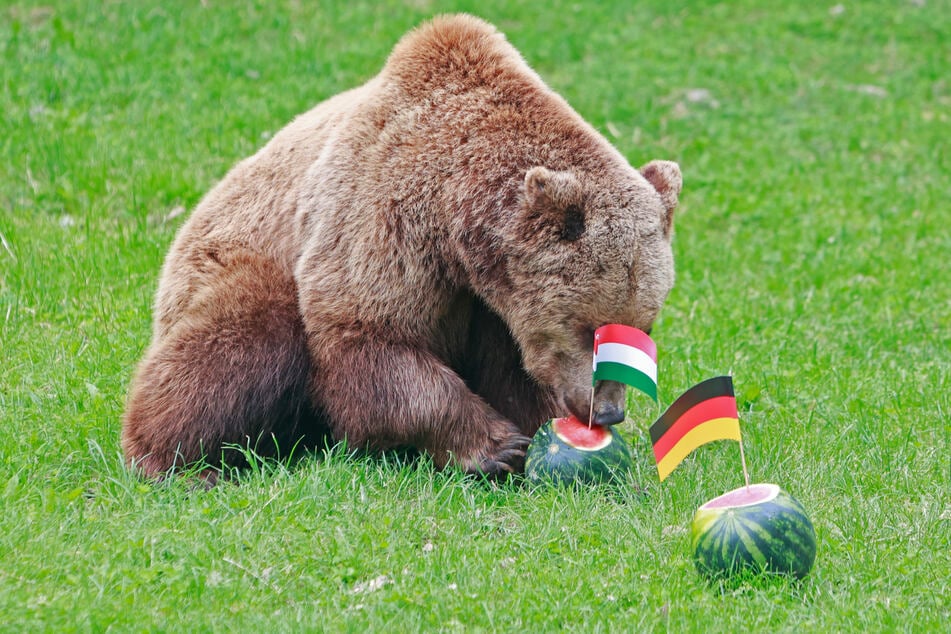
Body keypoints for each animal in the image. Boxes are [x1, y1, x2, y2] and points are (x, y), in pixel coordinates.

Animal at [121, 13, 684, 478]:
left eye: (644, 327)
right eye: (590, 328)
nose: (608, 410)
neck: (460, 231)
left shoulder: (492, 303)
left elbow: (511, 366)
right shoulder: (383, 212)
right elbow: (373, 333)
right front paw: (495, 445)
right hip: (234, 261)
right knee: (238, 341)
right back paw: (170, 459)